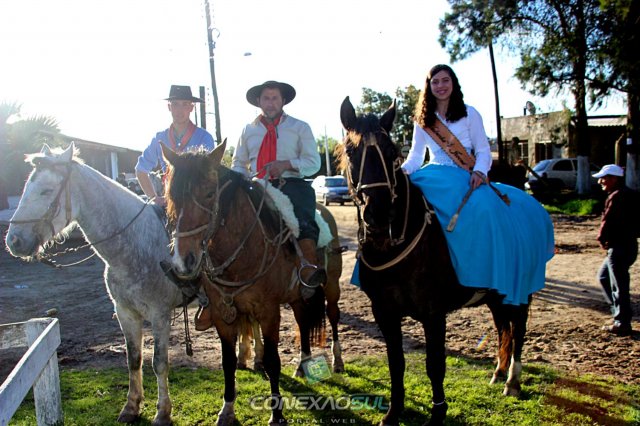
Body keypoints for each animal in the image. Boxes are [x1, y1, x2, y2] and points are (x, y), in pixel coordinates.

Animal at [6, 143, 192, 425]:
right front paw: (131, 407)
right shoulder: (125, 313)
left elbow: (159, 362)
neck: (136, 243)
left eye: (46, 190)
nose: (13, 240)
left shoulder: (160, 314)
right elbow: (133, 359)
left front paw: (162, 412)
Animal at [161, 141, 343, 425]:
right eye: (171, 196)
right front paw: (226, 410)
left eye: (209, 194)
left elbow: (272, 360)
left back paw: (337, 360)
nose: (183, 261)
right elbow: (227, 362)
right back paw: (302, 364)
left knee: (333, 315)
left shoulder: (269, 311)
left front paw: (277, 414)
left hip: (332, 285)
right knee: (303, 323)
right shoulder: (223, 314)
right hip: (298, 296)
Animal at [337, 97, 539, 426]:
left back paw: (512, 381)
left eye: (392, 152)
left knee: (518, 329)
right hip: (497, 294)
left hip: (521, 291)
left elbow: (435, 365)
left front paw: (437, 414)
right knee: (502, 327)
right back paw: (498, 373)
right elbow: (396, 362)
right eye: (352, 151)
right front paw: (393, 412)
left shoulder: (433, 314)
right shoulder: (384, 313)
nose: (378, 214)